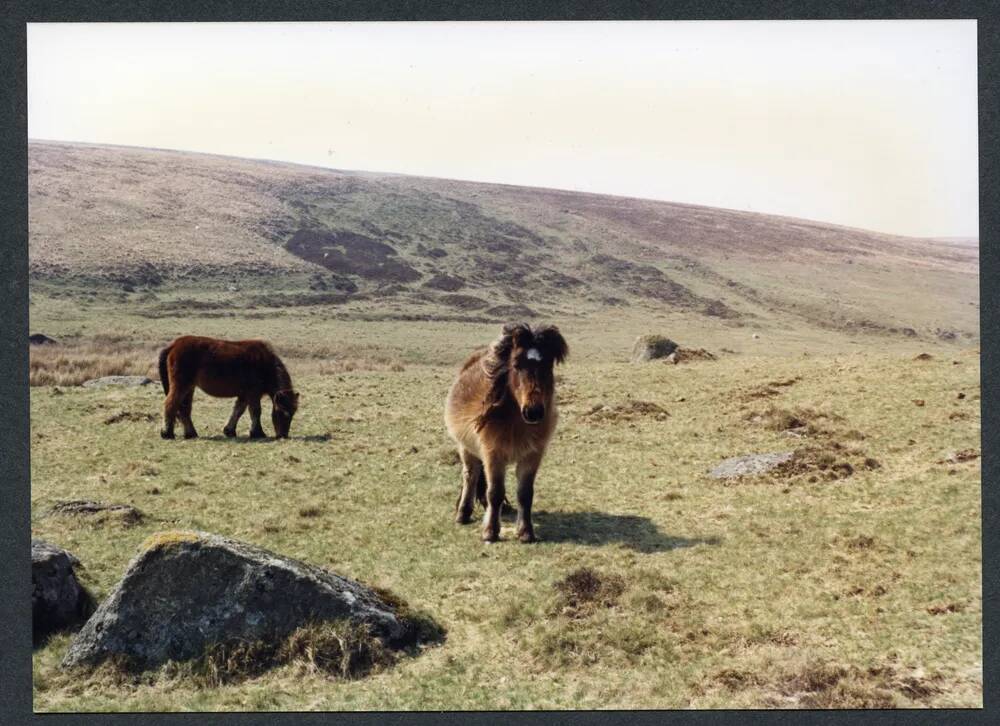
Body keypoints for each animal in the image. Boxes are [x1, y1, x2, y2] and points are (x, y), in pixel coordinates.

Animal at [158, 336, 298, 444]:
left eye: (292, 414)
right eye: (282, 412)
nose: (283, 436)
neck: (265, 364)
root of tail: (174, 345)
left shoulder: (244, 395)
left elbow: (238, 410)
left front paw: (229, 430)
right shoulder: (253, 393)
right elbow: (255, 411)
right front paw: (257, 433)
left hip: (189, 388)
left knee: (184, 409)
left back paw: (191, 434)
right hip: (181, 386)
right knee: (170, 404)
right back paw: (167, 434)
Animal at [446, 322, 572, 540]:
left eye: (548, 365)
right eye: (516, 364)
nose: (533, 411)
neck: (515, 422)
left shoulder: (532, 456)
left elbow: (525, 494)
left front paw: (526, 532)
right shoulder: (493, 455)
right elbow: (494, 492)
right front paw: (490, 532)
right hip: (466, 447)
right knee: (470, 476)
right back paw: (463, 514)